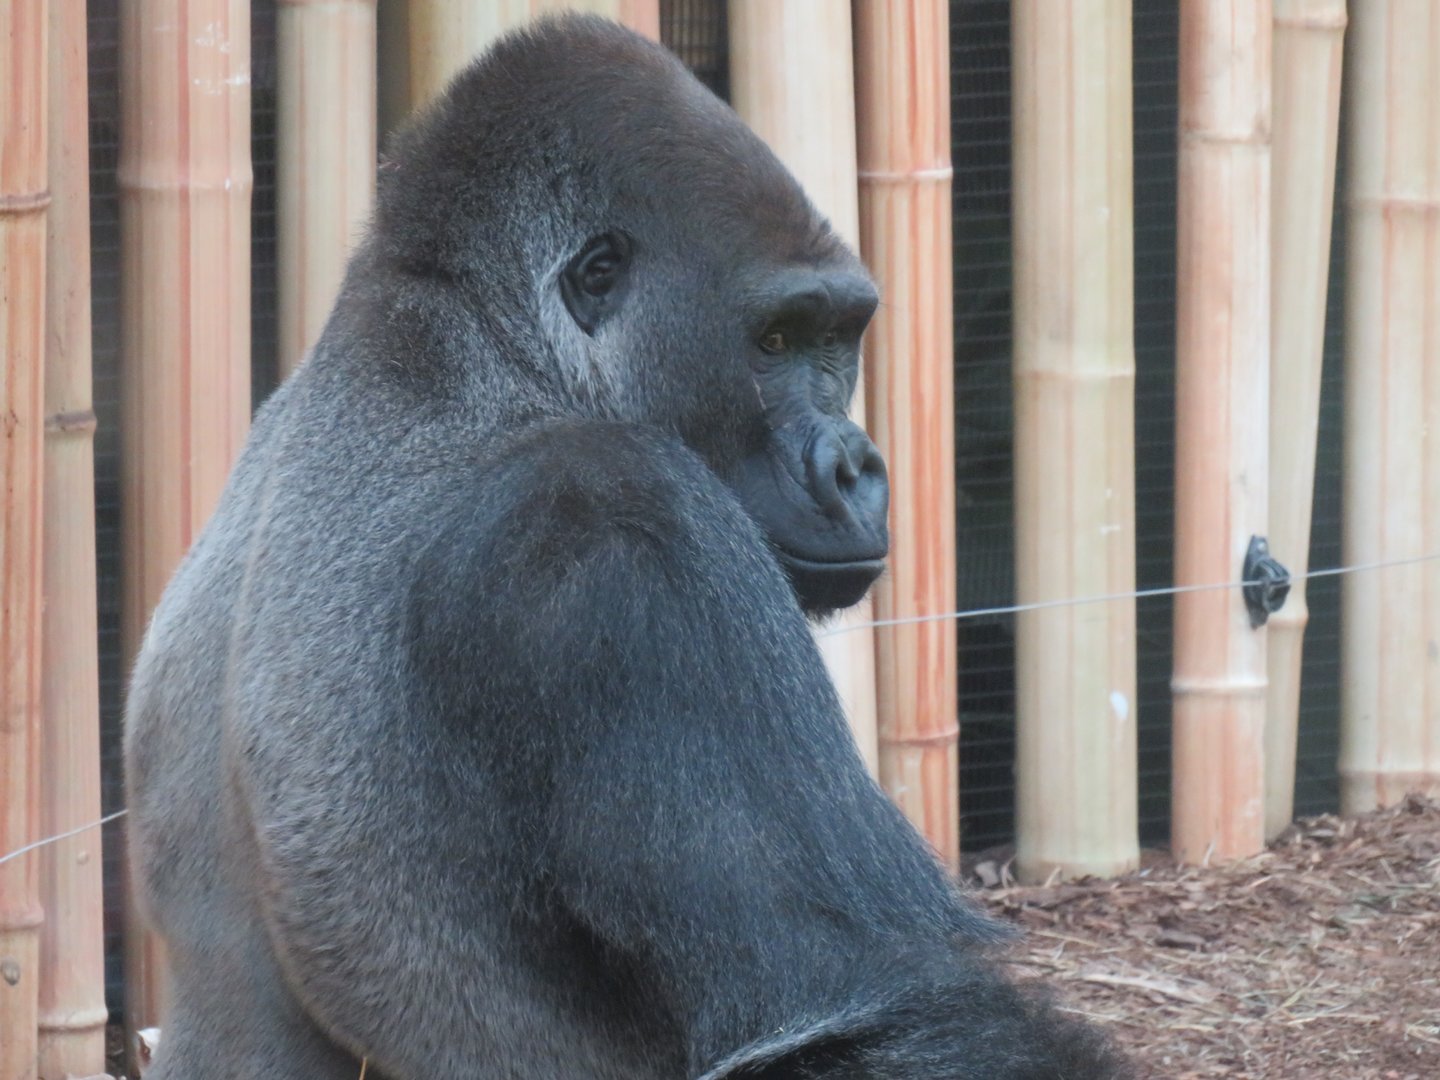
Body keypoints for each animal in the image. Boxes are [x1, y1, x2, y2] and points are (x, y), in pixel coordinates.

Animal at [124, 15, 1128, 1079]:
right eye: (776, 340)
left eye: (837, 339)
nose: (857, 466)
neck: (487, 349)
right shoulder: (623, 519)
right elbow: (841, 1006)